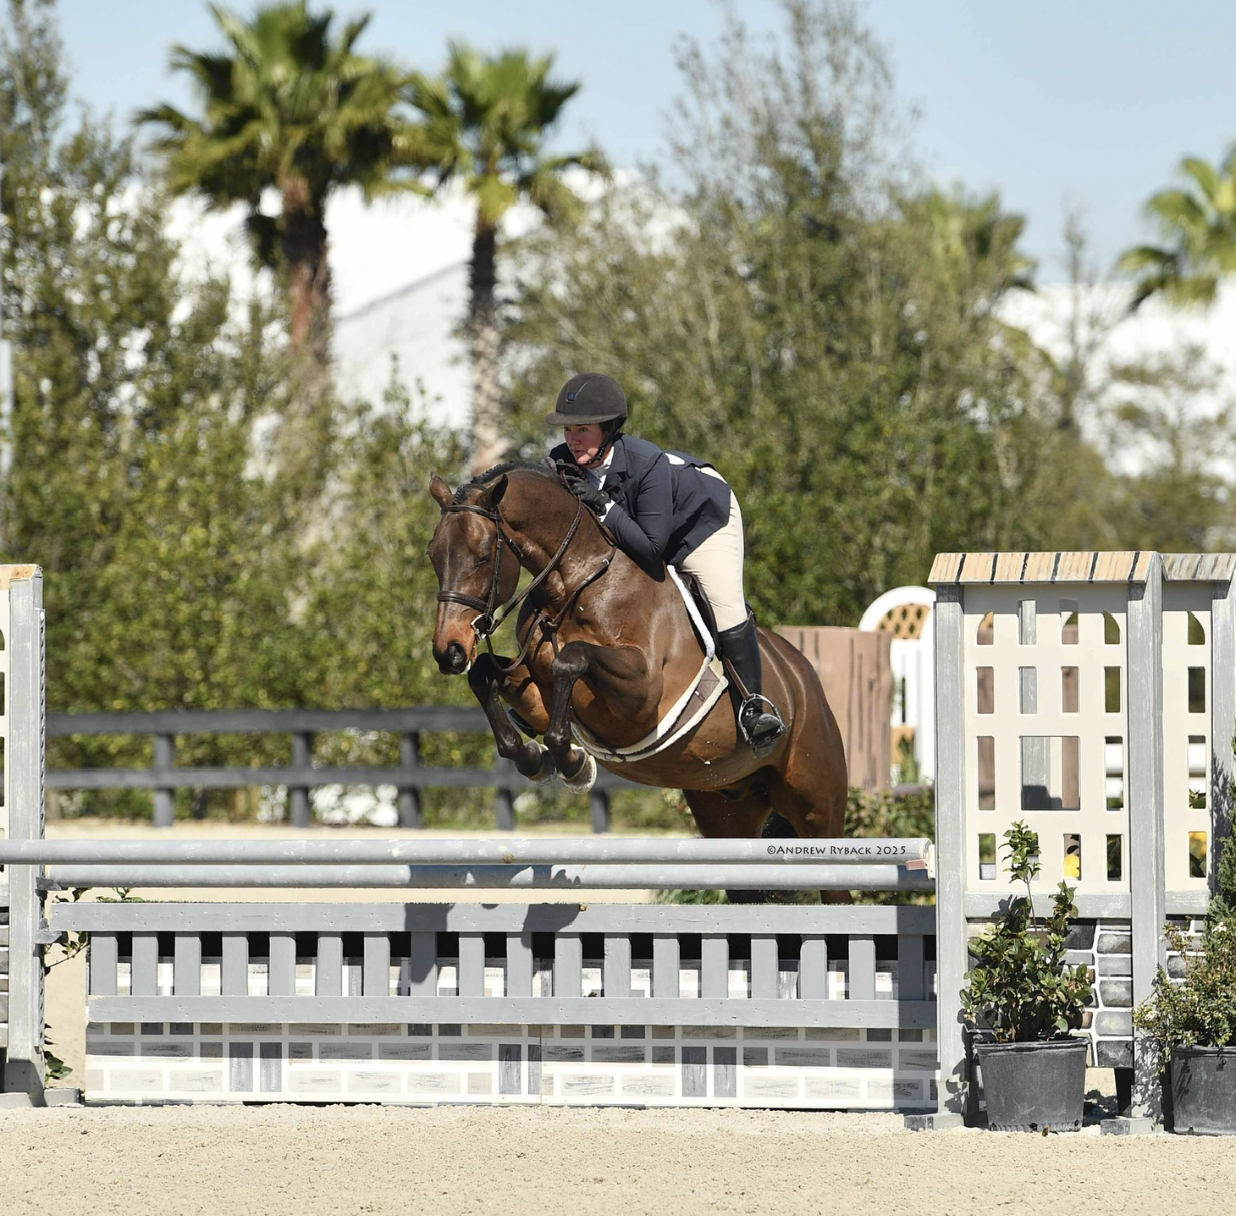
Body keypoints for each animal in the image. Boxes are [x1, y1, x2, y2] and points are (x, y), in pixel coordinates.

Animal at [427, 461, 848, 845]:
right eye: (433, 555)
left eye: (483, 555)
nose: (449, 651)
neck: (574, 584)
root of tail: (804, 676)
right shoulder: (536, 688)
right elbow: (484, 673)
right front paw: (532, 758)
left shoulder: (643, 695)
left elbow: (572, 659)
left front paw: (573, 763)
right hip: (724, 808)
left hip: (817, 804)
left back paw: (760, 720)